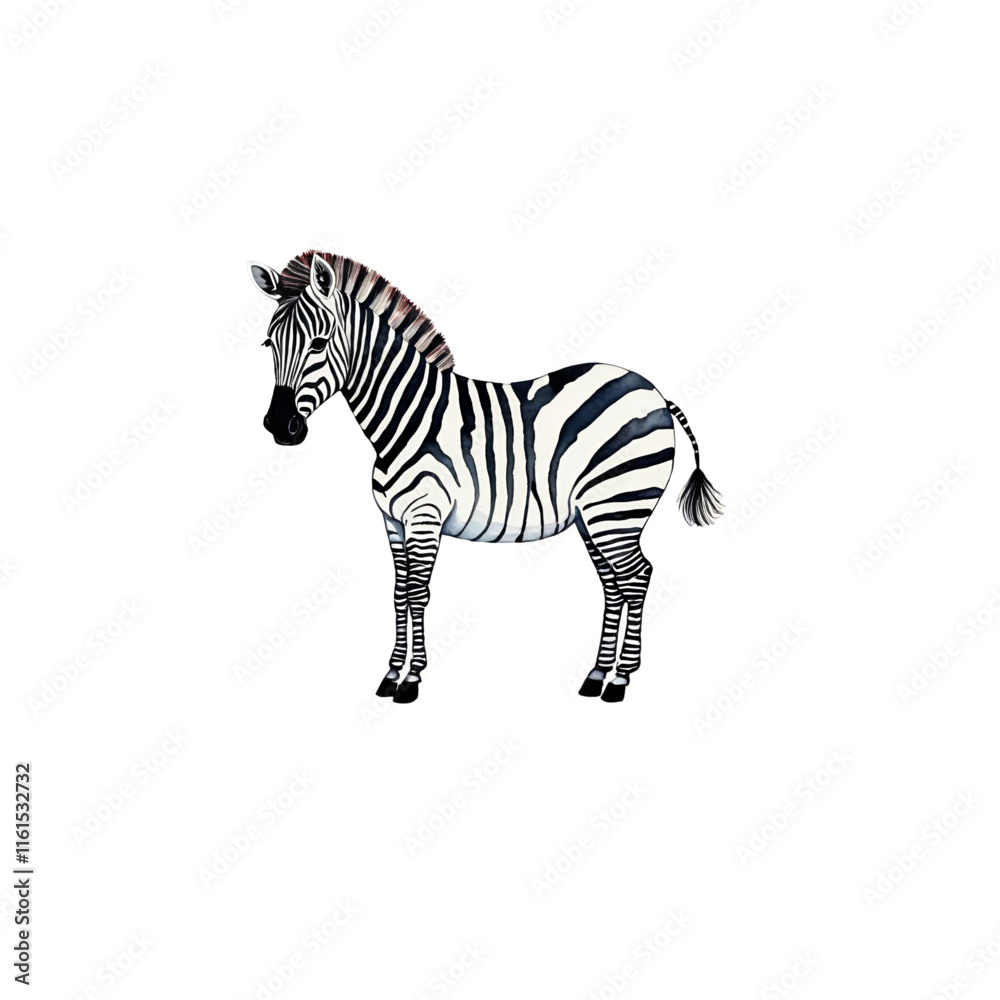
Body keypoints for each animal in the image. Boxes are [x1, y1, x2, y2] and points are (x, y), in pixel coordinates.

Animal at [249, 251, 722, 703]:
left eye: (319, 343)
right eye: (269, 343)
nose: (279, 426)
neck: (406, 420)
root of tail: (653, 390)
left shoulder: (425, 517)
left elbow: (418, 592)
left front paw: (411, 680)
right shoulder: (394, 522)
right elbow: (399, 592)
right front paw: (391, 674)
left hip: (618, 504)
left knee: (637, 577)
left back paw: (621, 679)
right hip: (595, 515)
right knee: (614, 583)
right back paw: (597, 675)